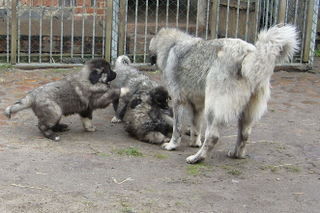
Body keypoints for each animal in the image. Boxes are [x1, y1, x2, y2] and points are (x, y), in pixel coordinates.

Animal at [149, 25, 298, 165]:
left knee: (213, 136)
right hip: (245, 113)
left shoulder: (178, 101)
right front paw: (194, 143)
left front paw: (172, 145)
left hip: (213, 107)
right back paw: (236, 154)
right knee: (244, 135)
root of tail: (249, 53)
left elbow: (177, 127)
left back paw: (197, 158)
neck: (172, 45)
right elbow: (196, 127)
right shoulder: (197, 106)